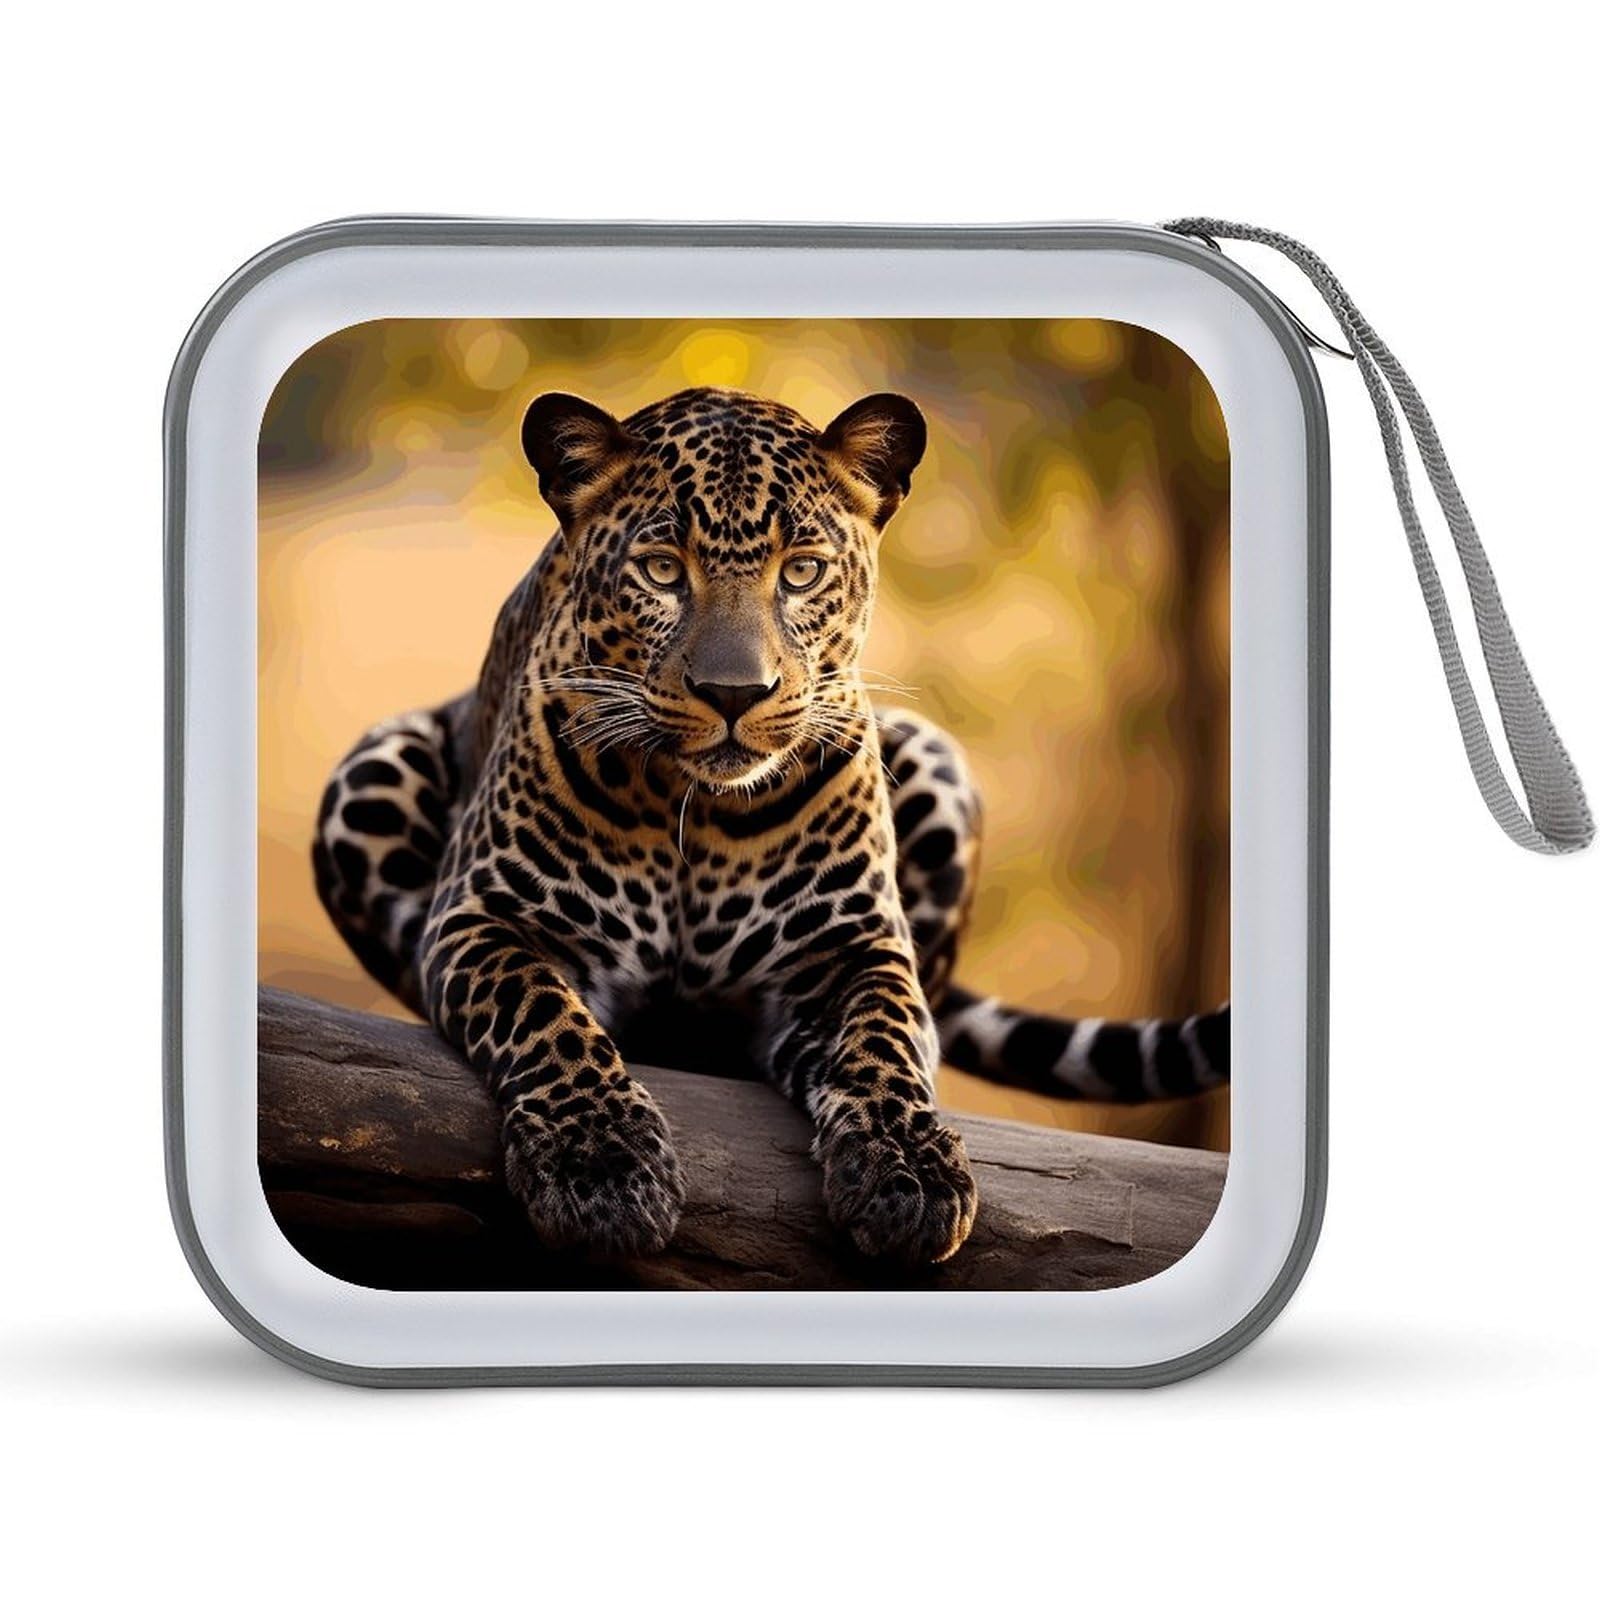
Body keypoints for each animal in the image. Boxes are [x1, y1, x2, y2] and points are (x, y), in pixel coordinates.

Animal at [312, 385, 1230, 1266]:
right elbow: (544, 1016)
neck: (694, 810)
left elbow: (887, 1037)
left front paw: (910, 1174)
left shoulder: (848, 951)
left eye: (803, 571)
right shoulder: (487, 918)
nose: (733, 693)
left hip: (936, 759)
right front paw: (603, 1169)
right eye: (660, 570)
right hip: (370, 769)